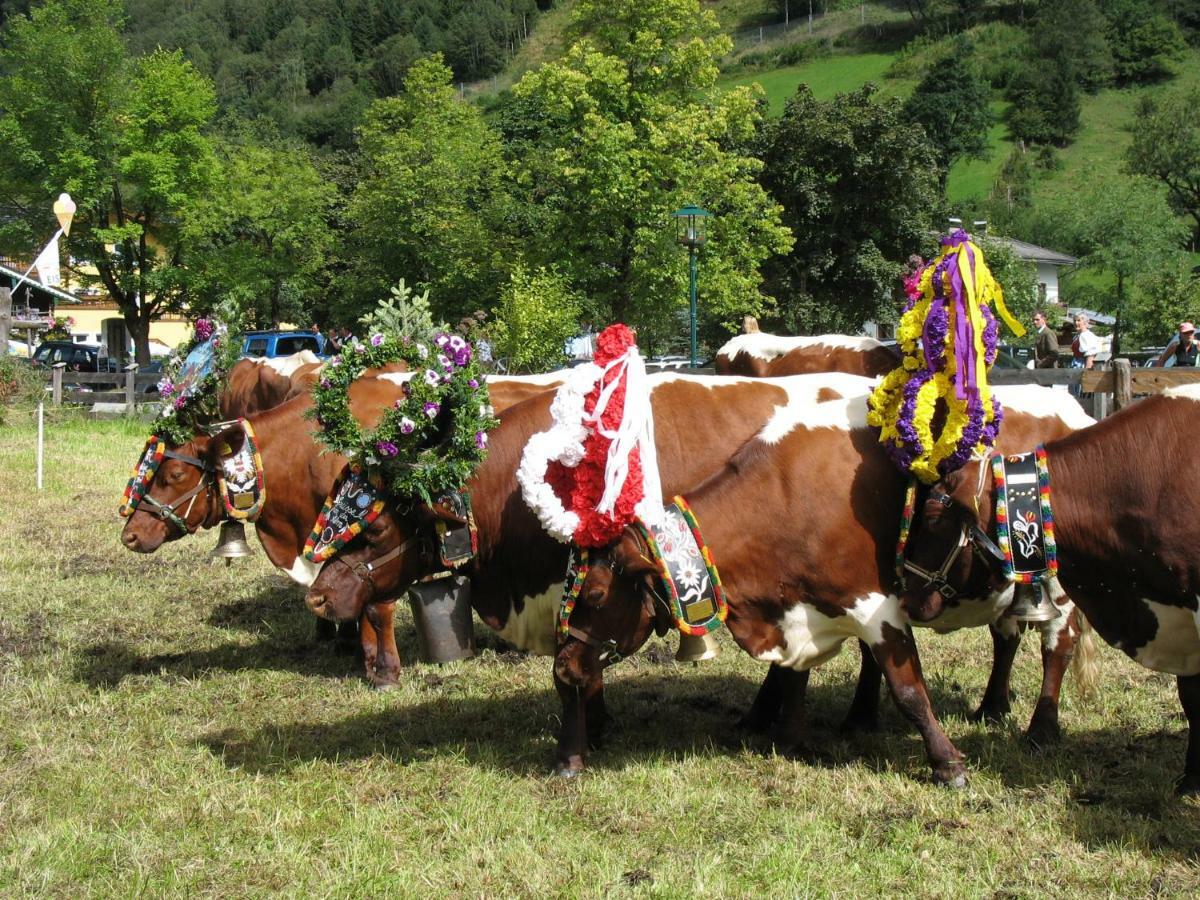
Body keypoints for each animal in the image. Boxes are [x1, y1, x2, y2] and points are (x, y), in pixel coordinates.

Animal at [902, 384, 1200, 792]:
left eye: (932, 519)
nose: (908, 594)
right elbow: (1191, 694)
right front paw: (1191, 779)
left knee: (1057, 642)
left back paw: (1040, 729)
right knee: (1009, 637)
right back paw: (993, 707)